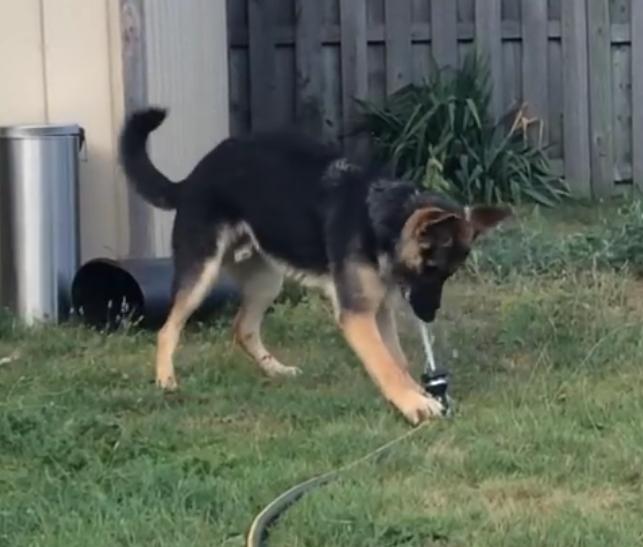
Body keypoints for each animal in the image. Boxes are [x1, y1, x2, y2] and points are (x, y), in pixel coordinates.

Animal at [121, 107, 510, 424]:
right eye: (431, 268)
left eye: (447, 274)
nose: (429, 316)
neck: (377, 220)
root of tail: (192, 177)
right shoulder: (357, 315)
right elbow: (386, 365)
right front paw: (413, 403)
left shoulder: (378, 310)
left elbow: (396, 360)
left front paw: (416, 392)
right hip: (201, 274)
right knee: (168, 329)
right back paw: (166, 380)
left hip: (267, 280)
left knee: (243, 328)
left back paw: (276, 370)